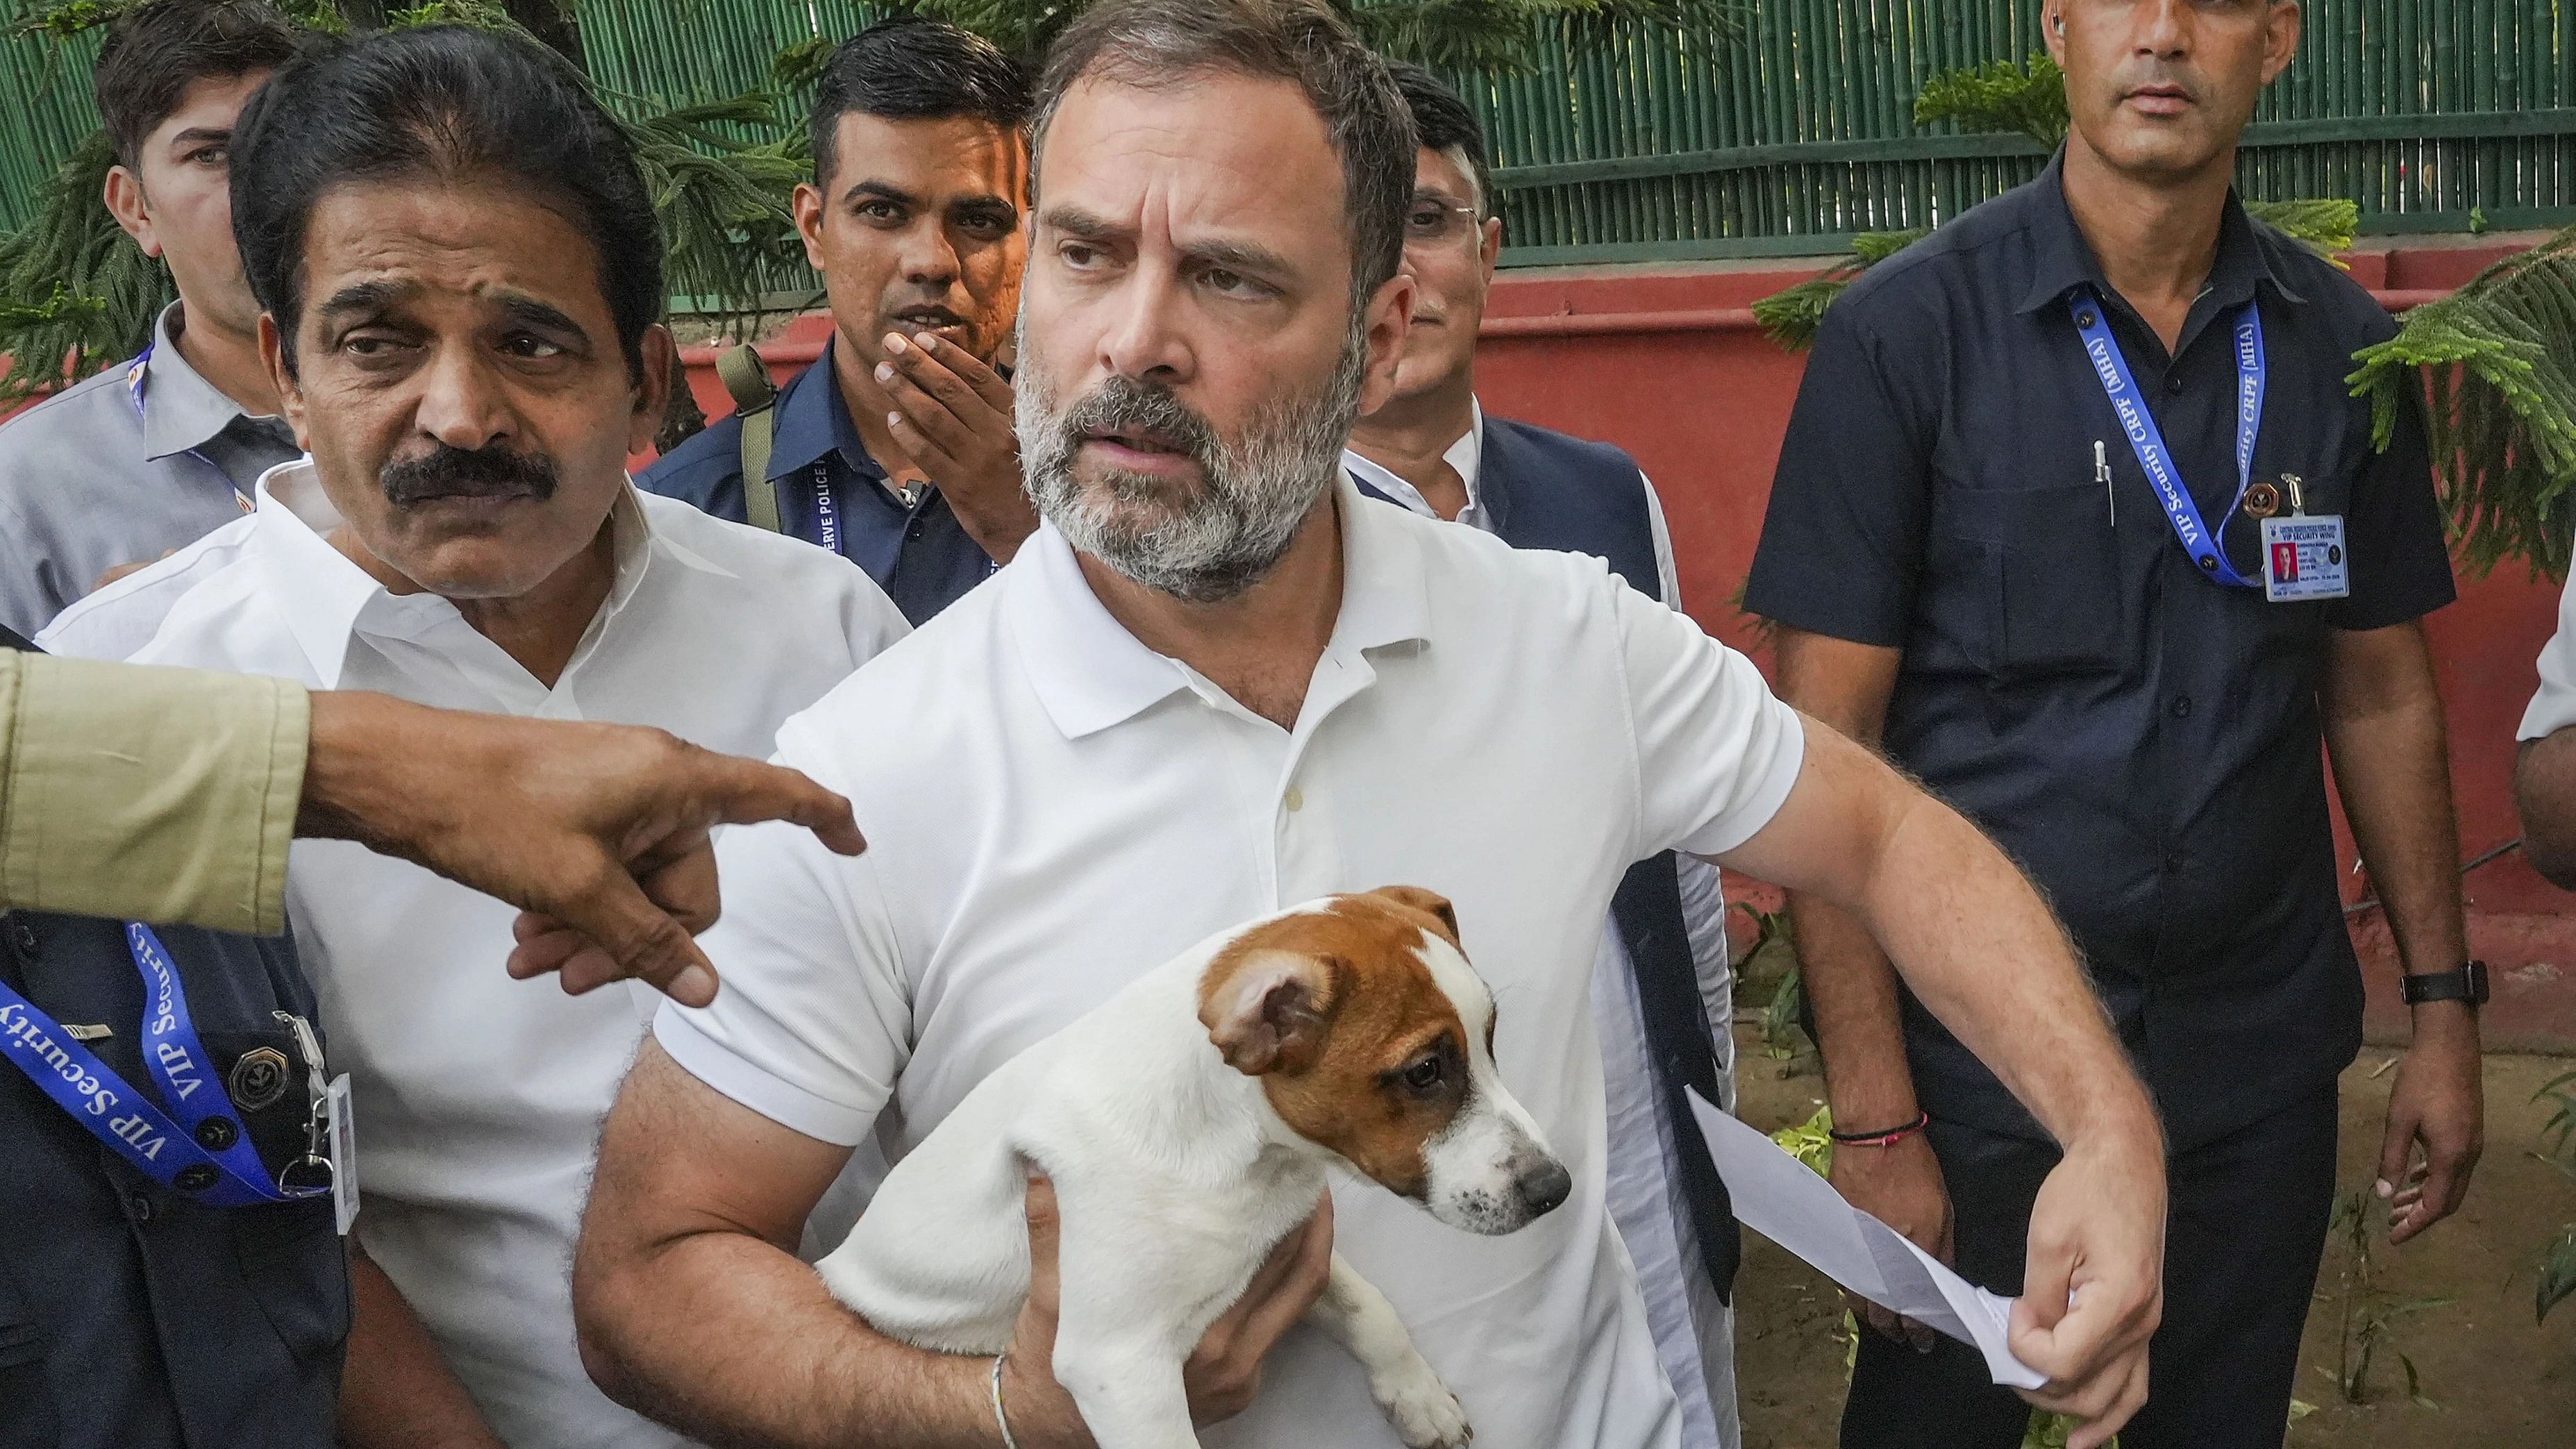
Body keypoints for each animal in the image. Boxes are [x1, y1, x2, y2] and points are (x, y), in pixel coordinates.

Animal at [819, 885, 1566, 1449]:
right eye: (1424, 1071)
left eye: (1490, 1040)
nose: (1555, 1188)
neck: (1241, 1157)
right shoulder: (1118, 1365)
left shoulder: (1284, 1239)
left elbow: (1369, 1304)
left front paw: (1417, 1394)